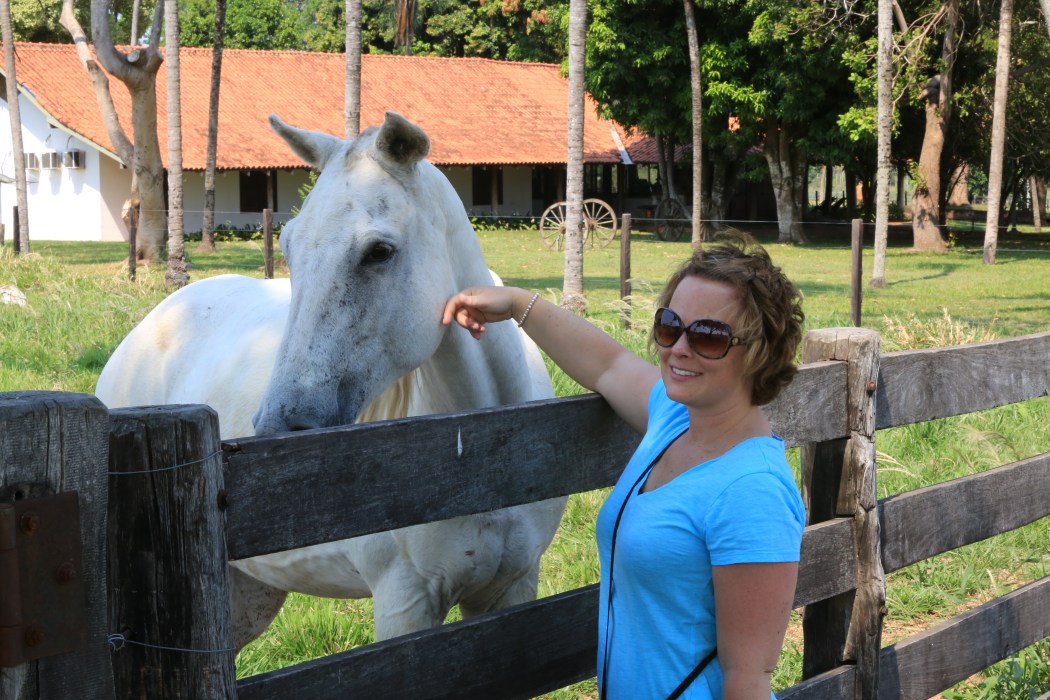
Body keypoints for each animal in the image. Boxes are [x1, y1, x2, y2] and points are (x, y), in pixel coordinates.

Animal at [95, 112, 567, 649]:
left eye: (379, 251)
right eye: (288, 247)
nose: (279, 428)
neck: (486, 451)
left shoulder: (512, 589)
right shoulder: (405, 601)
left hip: (246, 593)